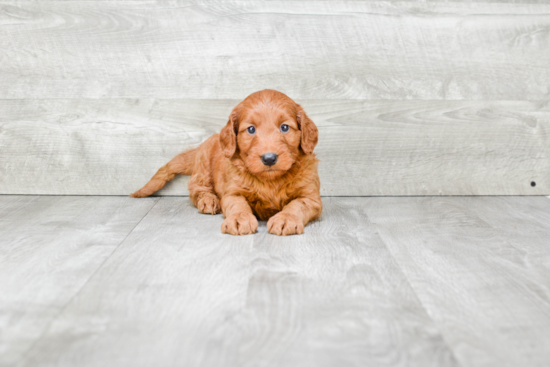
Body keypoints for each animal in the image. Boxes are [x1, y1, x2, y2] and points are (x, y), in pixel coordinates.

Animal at [131, 90, 324, 237]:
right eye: (251, 129)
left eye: (284, 127)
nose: (269, 158)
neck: (270, 180)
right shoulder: (232, 192)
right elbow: (237, 204)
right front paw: (239, 219)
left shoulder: (311, 197)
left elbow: (297, 205)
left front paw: (286, 218)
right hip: (203, 167)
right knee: (196, 188)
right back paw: (208, 200)